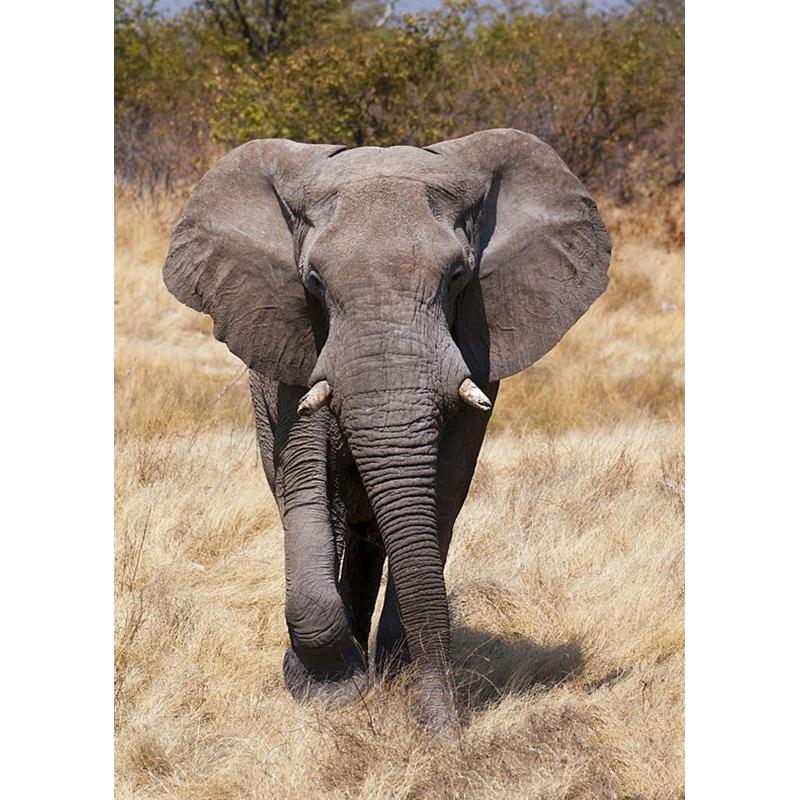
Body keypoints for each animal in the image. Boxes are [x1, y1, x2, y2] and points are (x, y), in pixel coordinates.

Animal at [162, 128, 611, 730]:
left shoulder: (478, 350)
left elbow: (442, 492)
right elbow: (307, 486)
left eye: (457, 275)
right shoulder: (293, 344)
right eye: (313, 280)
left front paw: (396, 683)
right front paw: (331, 693)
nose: (448, 733)